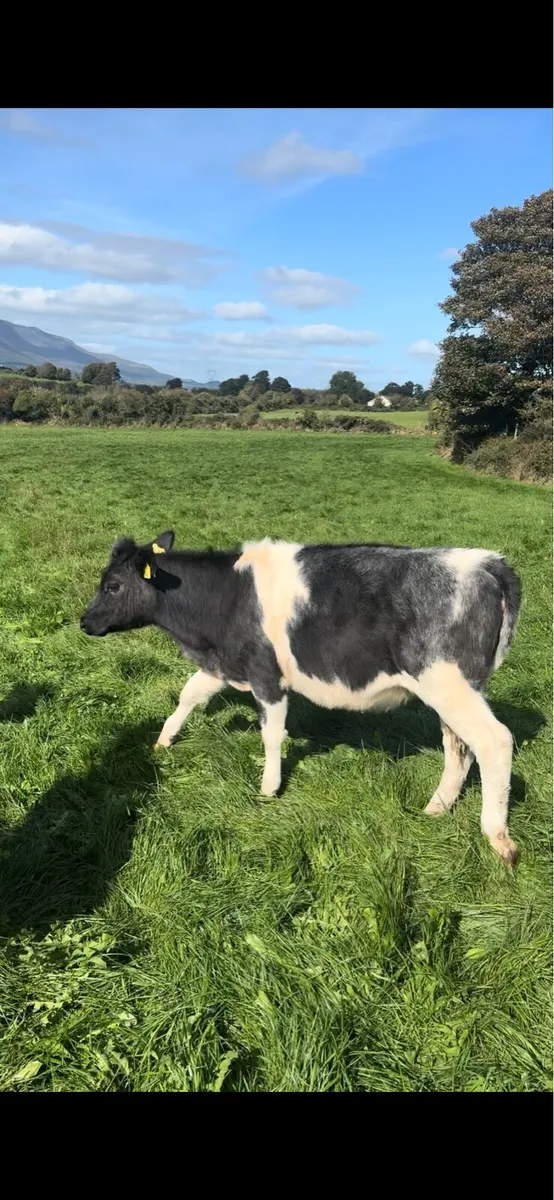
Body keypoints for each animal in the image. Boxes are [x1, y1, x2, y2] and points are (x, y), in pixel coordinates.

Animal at [80, 532, 522, 865]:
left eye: (113, 586)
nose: (84, 622)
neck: (225, 600)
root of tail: (488, 562)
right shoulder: (224, 662)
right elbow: (190, 694)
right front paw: (163, 740)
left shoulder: (265, 673)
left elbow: (272, 733)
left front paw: (268, 787)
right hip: (455, 690)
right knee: (458, 744)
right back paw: (438, 806)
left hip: (447, 683)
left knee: (494, 741)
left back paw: (498, 837)